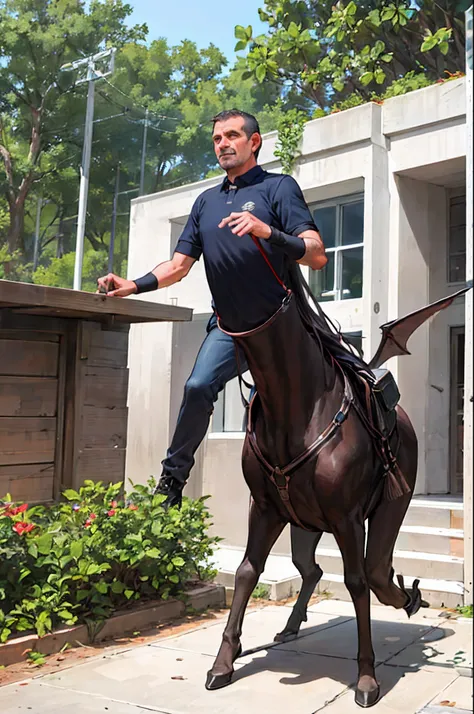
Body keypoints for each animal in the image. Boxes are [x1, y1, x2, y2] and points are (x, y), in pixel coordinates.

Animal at [205, 262, 470, 708]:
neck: (295, 409)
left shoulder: (347, 517)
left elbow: (357, 582)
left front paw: (367, 679)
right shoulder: (264, 508)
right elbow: (246, 571)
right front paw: (224, 661)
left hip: (389, 503)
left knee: (376, 570)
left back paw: (409, 598)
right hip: (302, 526)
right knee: (310, 568)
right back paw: (292, 625)